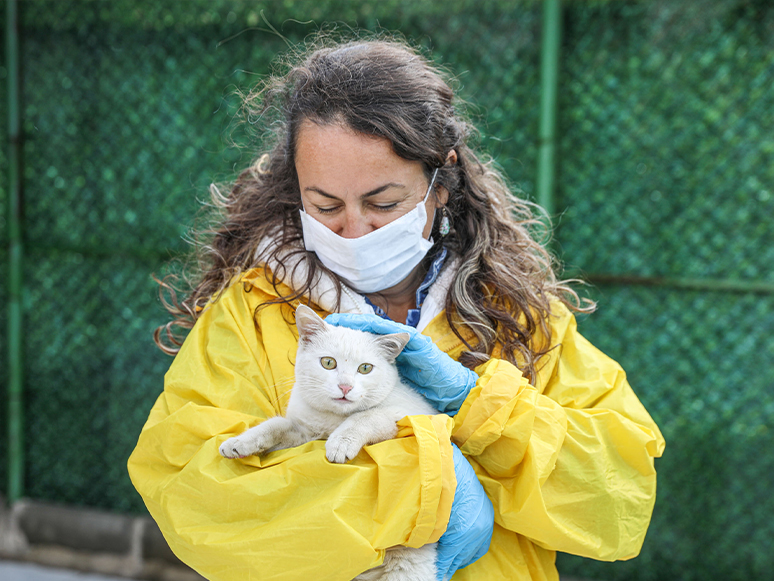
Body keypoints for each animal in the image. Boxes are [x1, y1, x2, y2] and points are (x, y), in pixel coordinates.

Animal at [221, 304, 442, 580]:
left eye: (365, 368)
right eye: (328, 363)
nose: (345, 387)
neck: (332, 420)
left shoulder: (401, 418)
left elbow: (365, 416)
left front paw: (340, 444)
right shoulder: (303, 434)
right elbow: (275, 426)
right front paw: (241, 441)